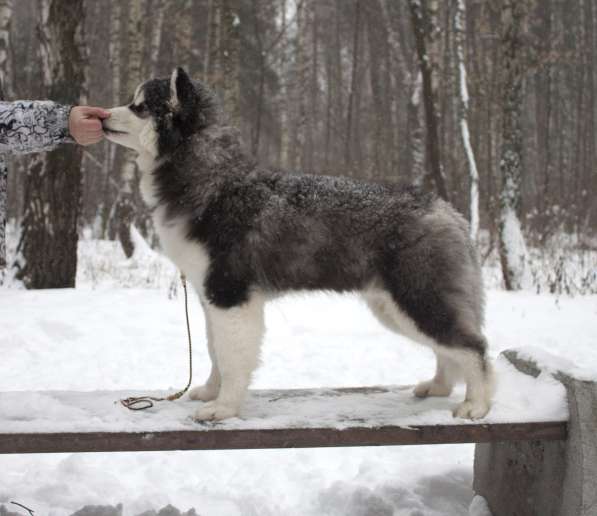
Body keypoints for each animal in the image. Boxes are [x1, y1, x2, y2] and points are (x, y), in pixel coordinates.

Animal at [103, 68, 494, 422]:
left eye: (139, 106)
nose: (103, 116)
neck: (213, 182)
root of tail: (449, 212)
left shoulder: (231, 296)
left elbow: (230, 357)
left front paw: (224, 408)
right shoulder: (210, 297)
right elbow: (214, 351)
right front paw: (211, 392)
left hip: (418, 298)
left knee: (473, 346)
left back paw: (476, 404)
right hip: (395, 307)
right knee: (448, 348)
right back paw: (439, 386)